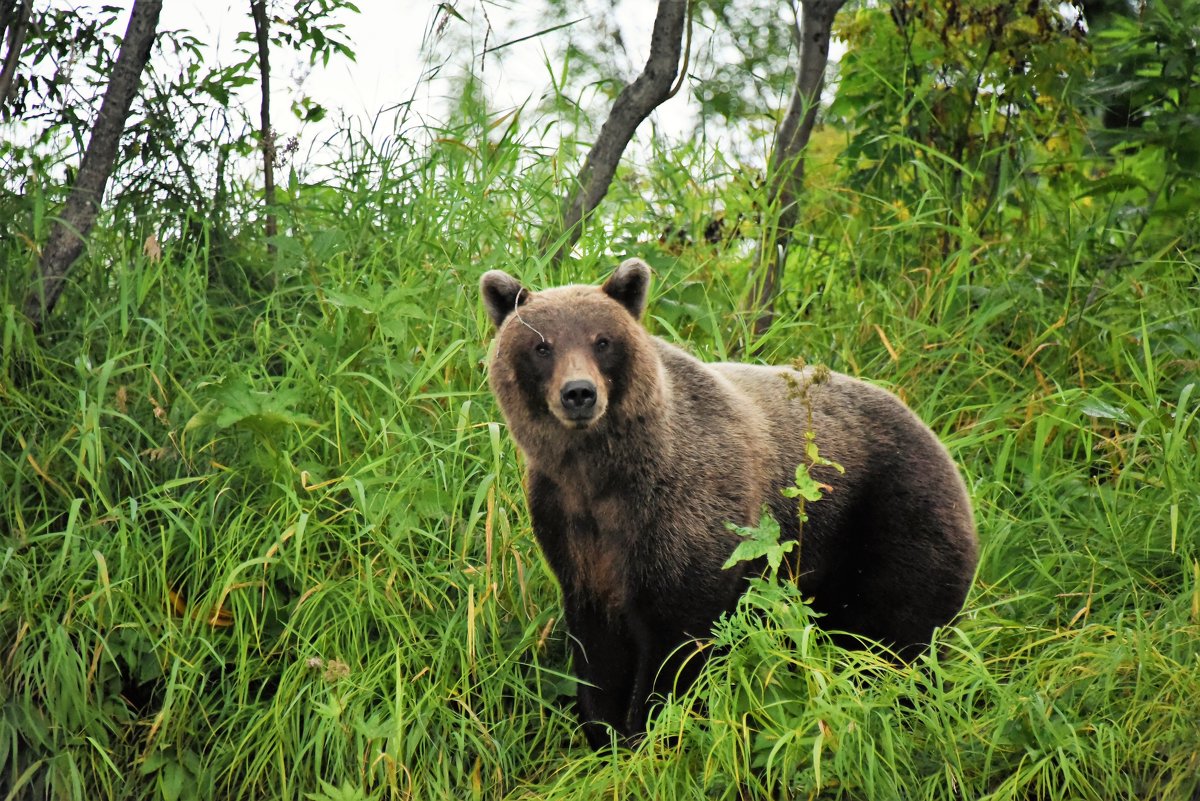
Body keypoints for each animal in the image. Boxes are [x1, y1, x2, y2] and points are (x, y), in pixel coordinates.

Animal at [477, 260, 974, 748]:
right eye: (542, 345)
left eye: (602, 341)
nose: (579, 393)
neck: (601, 475)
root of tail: (937, 440)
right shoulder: (570, 523)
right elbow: (597, 642)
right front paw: (605, 732)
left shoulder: (684, 510)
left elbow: (678, 634)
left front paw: (651, 727)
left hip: (891, 518)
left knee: (894, 636)